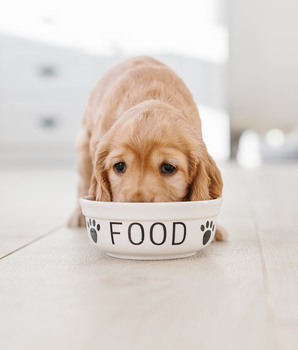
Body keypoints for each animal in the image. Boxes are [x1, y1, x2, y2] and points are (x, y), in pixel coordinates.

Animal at [69, 56, 228, 242]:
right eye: (119, 166)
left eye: (168, 167)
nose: (137, 205)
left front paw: (215, 230)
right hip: (83, 148)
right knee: (82, 182)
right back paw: (77, 216)